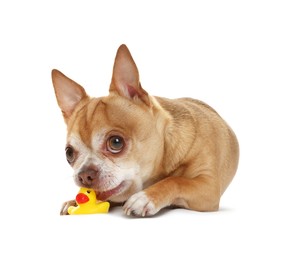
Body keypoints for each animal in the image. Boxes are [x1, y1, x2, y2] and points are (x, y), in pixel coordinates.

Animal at [52, 45, 240, 217]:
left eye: (116, 142)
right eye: (69, 153)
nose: (84, 175)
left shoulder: (209, 187)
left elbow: (176, 181)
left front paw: (145, 198)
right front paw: (73, 201)